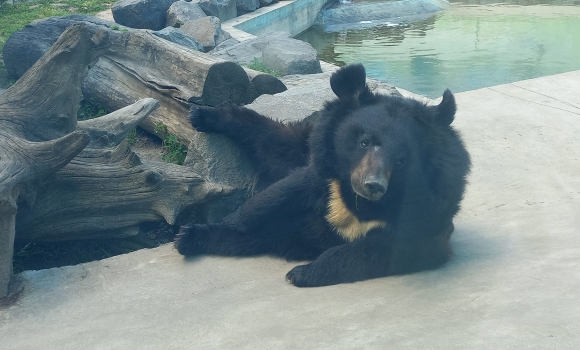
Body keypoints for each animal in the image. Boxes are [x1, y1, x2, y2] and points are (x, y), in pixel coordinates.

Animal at [173, 63, 472, 288]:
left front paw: (302, 273)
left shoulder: (430, 207)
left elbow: (388, 250)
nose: (373, 185)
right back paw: (204, 115)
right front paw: (191, 234)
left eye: (401, 159)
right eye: (364, 142)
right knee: (274, 140)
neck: (356, 200)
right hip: (307, 144)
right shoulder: (322, 173)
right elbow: (271, 201)